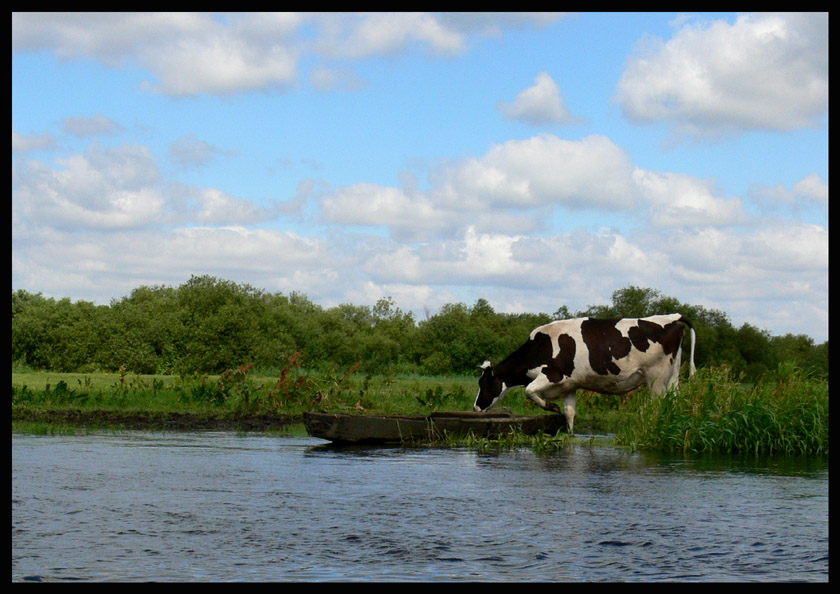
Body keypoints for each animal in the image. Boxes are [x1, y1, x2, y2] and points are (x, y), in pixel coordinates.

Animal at [472, 314, 696, 430]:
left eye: (484, 383)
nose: (475, 408)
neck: (539, 347)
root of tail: (673, 317)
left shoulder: (553, 375)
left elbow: (529, 390)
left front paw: (551, 407)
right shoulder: (568, 386)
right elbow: (570, 413)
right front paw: (569, 433)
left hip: (656, 377)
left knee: (657, 405)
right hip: (673, 376)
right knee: (672, 402)